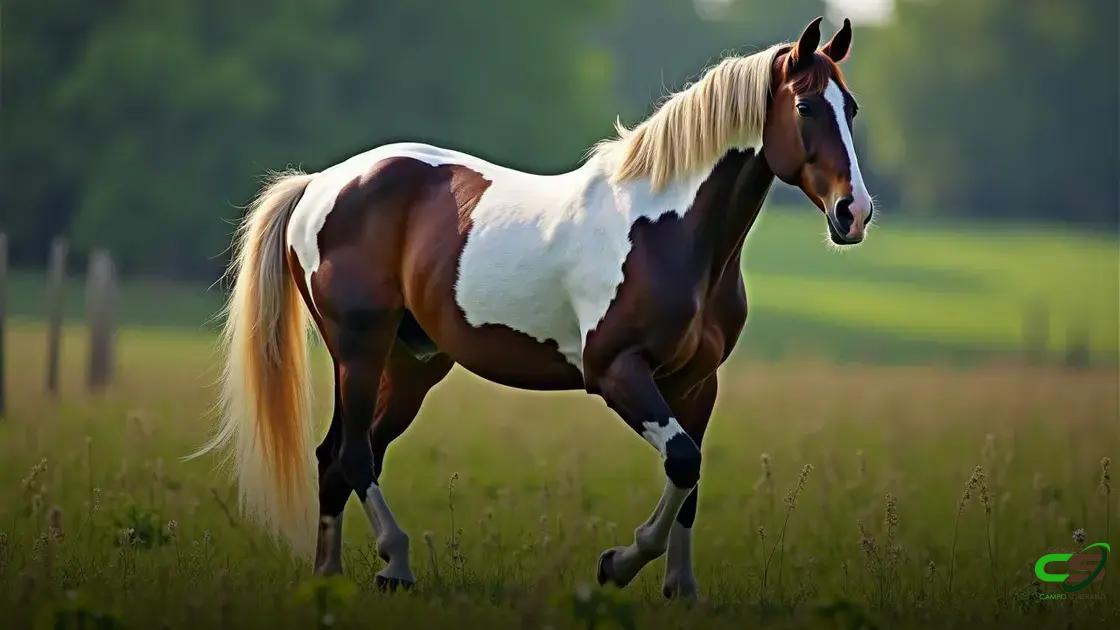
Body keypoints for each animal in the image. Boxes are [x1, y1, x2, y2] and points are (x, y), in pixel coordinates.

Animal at [200, 16, 873, 598]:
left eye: (852, 108)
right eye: (807, 107)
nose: (855, 213)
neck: (669, 230)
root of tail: (320, 184)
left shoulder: (695, 382)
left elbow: (693, 477)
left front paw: (680, 589)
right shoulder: (616, 371)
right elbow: (683, 461)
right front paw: (616, 564)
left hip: (409, 364)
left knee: (338, 458)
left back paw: (334, 576)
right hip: (358, 351)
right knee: (353, 455)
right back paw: (396, 561)